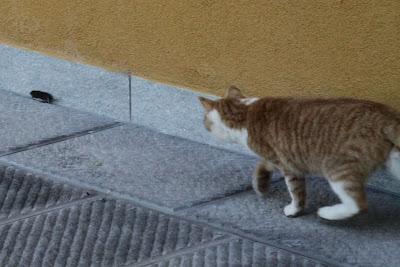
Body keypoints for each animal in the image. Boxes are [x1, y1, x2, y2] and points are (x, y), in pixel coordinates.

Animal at [199, 87, 400, 221]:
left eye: (205, 121)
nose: (204, 126)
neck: (244, 112)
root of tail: (387, 114)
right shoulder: (277, 157)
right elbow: (263, 165)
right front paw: (261, 183)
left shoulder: (288, 165)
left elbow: (296, 191)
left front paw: (295, 210)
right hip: (395, 161)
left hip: (338, 169)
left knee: (359, 204)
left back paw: (328, 213)